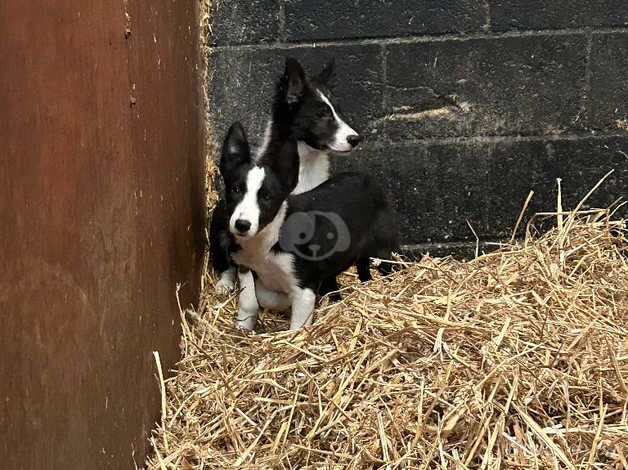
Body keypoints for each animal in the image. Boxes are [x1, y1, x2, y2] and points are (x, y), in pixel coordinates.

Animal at [221, 120, 398, 330]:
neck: (270, 238)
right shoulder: (246, 266)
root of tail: (369, 180)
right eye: (236, 189)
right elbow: (251, 299)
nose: (242, 225)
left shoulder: (304, 288)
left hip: (382, 249)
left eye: (267, 197)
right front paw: (244, 326)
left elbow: (297, 325)